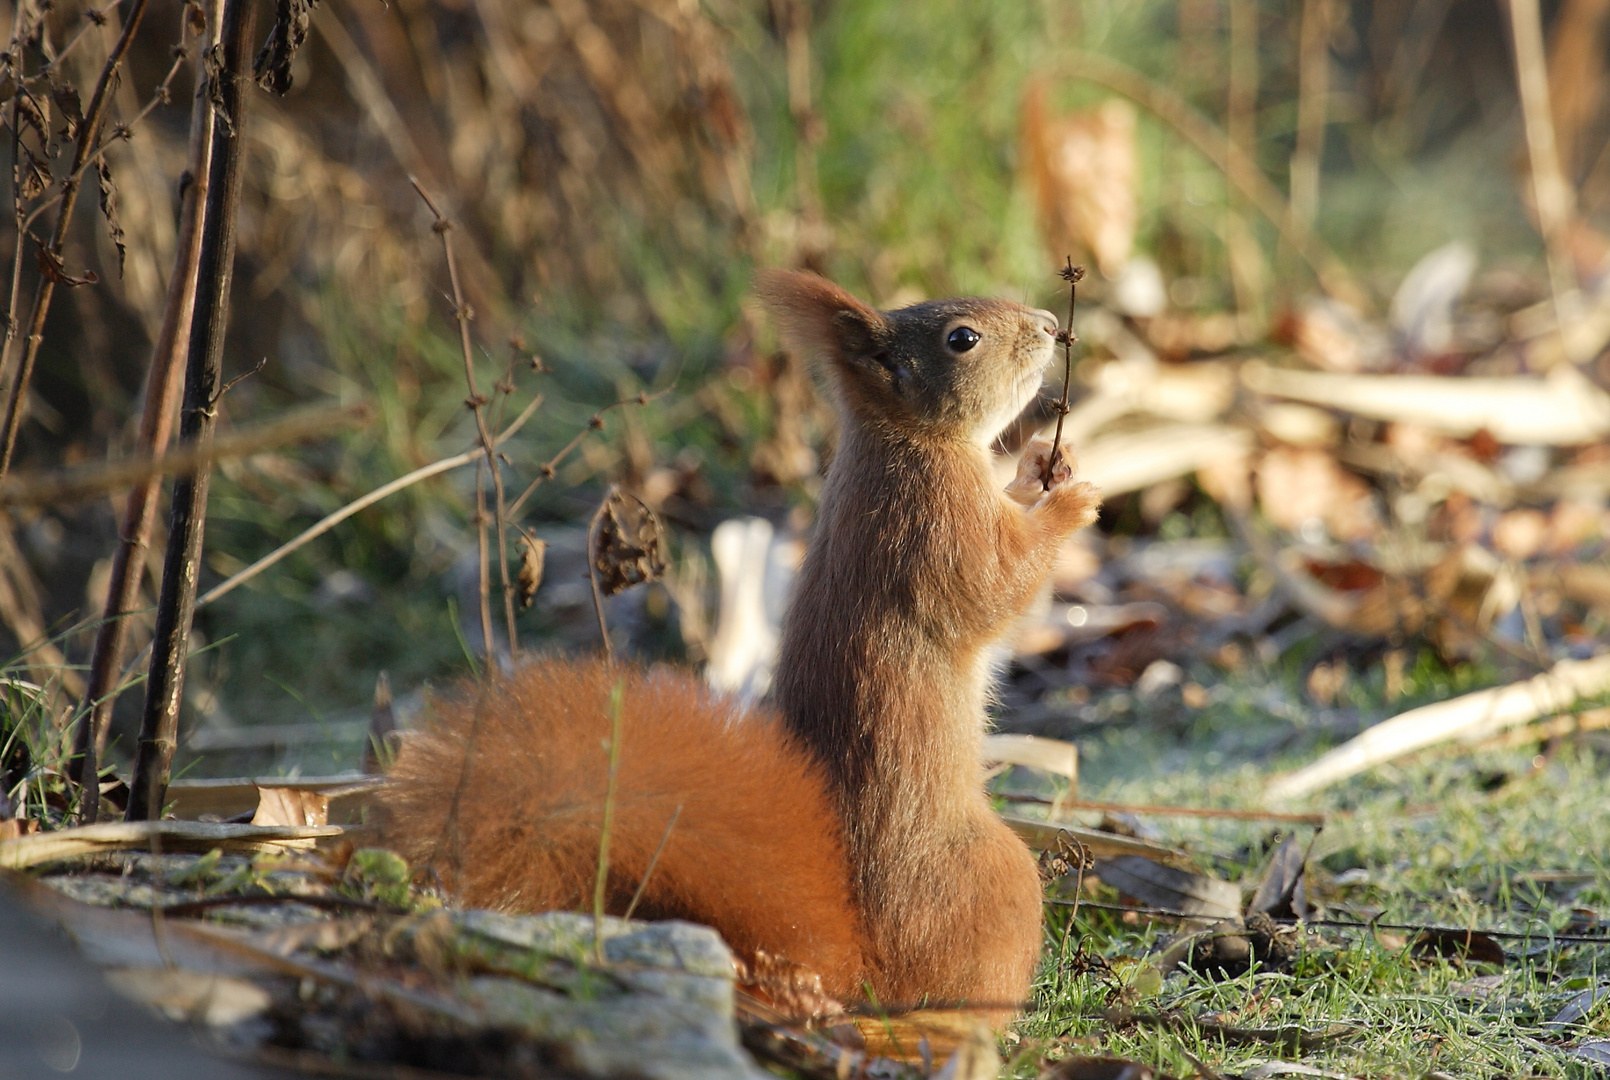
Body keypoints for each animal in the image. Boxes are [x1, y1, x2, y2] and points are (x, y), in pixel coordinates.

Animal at [376, 270, 1107, 1017]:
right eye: (962, 339)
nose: (1050, 324)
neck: (903, 442)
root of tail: (858, 969)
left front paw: (1043, 466)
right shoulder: (930, 522)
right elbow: (996, 586)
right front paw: (1069, 501)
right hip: (996, 880)